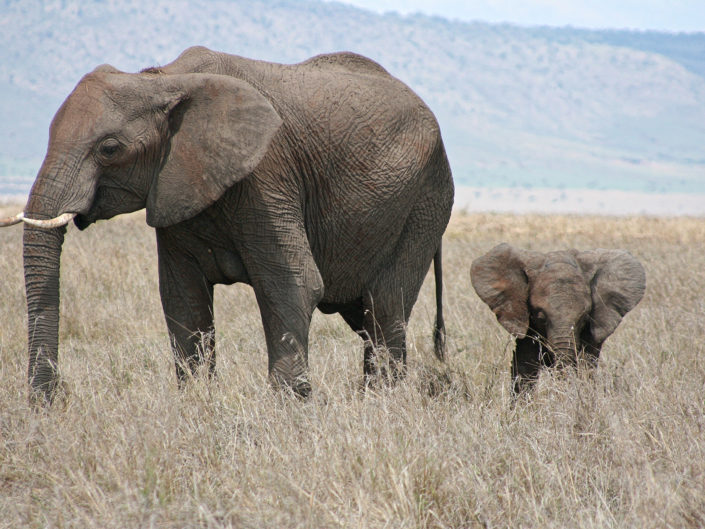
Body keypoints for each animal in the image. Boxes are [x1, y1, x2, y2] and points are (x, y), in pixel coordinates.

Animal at [0, 46, 454, 404]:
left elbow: (293, 284)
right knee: (365, 315)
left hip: (425, 201)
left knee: (385, 306)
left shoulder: (267, 175)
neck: (163, 80)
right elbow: (183, 299)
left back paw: (380, 402)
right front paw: (198, 402)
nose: (54, 399)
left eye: (109, 149)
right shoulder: (175, 186)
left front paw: (291, 407)